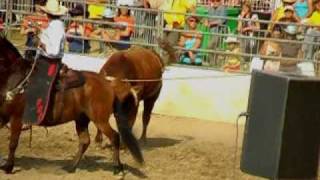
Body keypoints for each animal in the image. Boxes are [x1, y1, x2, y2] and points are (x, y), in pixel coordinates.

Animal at [0, 35, 143, 174]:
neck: (17, 79)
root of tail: (107, 83)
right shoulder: (4, 116)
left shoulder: (16, 118)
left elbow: (13, 143)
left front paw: (8, 167)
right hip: (81, 119)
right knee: (85, 141)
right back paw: (71, 166)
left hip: (100, 120)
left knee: (114, 136)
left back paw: (117, 167)